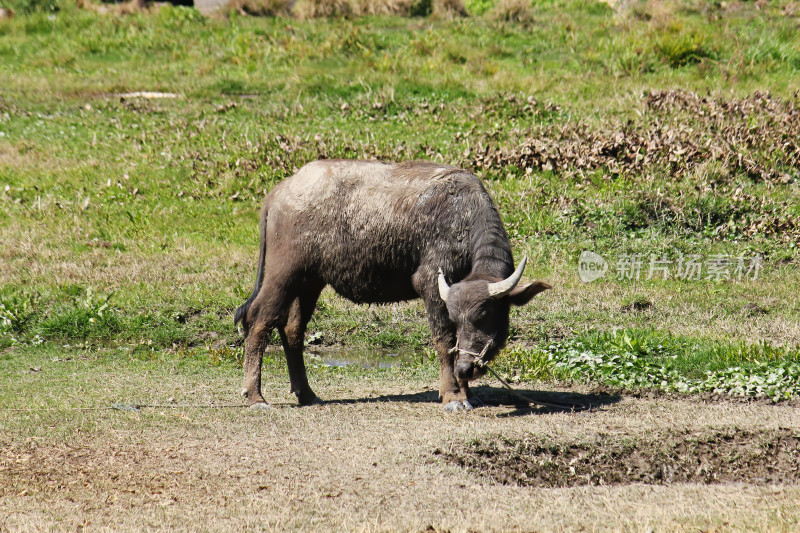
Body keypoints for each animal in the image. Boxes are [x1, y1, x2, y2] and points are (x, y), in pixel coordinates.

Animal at [238, 159, 552, 412]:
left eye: (484, 315)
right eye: (461, 316)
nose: (466, 368)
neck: (462, 217)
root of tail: (279, 192)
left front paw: (468, 394)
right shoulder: (431, 285)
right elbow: (445, 341)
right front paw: (453, 396)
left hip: (310, 282)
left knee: (293, 329)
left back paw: (307, 394)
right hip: (283, 274)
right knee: (259, 320)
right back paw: (256, 397)